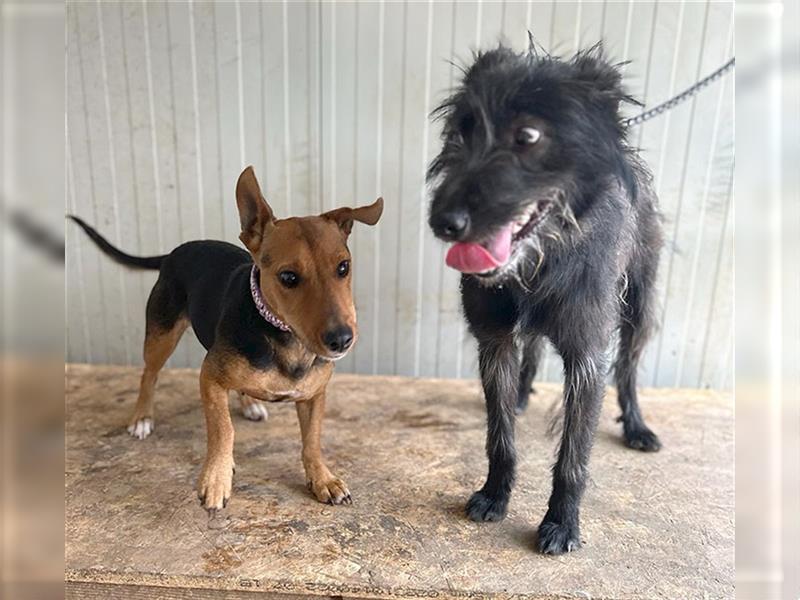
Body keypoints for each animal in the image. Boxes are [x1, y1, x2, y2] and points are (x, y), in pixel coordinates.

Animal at [70, 168, 382, 510]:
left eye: (343, 267)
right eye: (288, 277)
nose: (342, 339)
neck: (284, 337)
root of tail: (175, 252)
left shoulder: (314, 395)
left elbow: (312, 440)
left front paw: (323, 478)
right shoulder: (210, 378)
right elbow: (223, 429)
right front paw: (217, 477)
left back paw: (250, 403)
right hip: (161, 335)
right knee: (148, 375)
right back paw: (142, 417)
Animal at [428, 42, 664, 556]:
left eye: (528, 135)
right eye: (461, 132)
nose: (443, 223)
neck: (541, 263)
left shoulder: (588, 357)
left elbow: (574, 455)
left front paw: (562, 522)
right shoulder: (494, 342)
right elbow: (500, 438)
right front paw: (495, 494)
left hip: (640, 308)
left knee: (629, 369)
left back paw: (637, 426)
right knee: (533, 348)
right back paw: (521, 394)